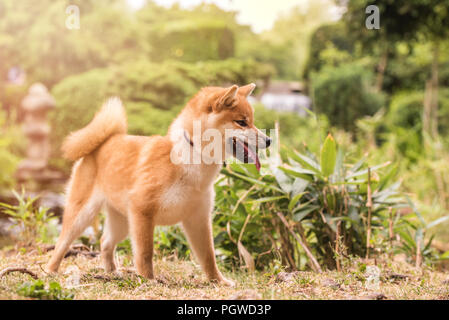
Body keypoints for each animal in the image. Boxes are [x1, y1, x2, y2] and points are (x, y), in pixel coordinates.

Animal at [44, 84, 270, 286]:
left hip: (122, 222)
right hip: (84, 215)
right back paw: (50, 271)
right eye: (241, 122)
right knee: (62, 244)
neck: (190, 159)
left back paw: (112, 272)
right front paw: (148, 279)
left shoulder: (198, 219)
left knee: (105, 242)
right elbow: (145, 253)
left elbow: (208, 257)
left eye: (252, 121)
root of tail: (106, 141)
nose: (269, 140)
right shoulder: (143, 211)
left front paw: (218, 281)